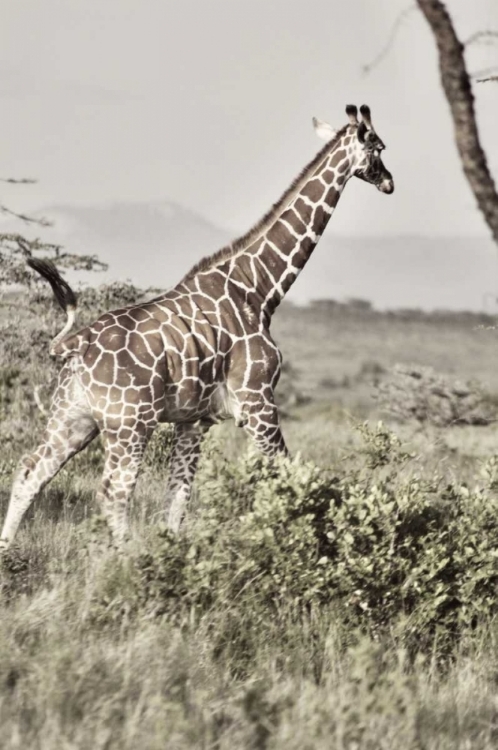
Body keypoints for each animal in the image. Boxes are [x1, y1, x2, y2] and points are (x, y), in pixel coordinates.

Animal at [1, 104, 394, 552]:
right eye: (378, 147)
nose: (389, 182)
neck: (260, 290)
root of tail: (76, 344)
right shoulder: (257, 400)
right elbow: (287, 477)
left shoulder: (196, 418)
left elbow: (179, 496)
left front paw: (174, 552)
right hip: (129, 422)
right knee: (113, 491)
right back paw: (127, 560)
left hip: (73, 417)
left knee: (30, 470)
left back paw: (8, 552)